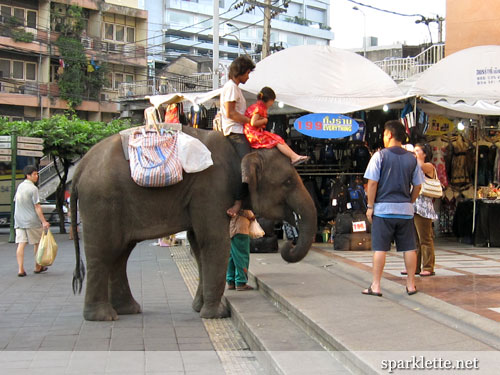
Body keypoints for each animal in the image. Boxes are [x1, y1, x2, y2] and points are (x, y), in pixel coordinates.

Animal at [71, 126, 316, 320]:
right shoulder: (212, 188)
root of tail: (79, 168)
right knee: (104, 251)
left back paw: (127, 310)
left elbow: (198, 244)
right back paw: (103, 317)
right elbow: (214, 241)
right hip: (101, 202)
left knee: (120, 253)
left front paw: (199, 309)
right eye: (288, 182)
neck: (244, 149)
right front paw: (217, 315)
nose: (289, 243)